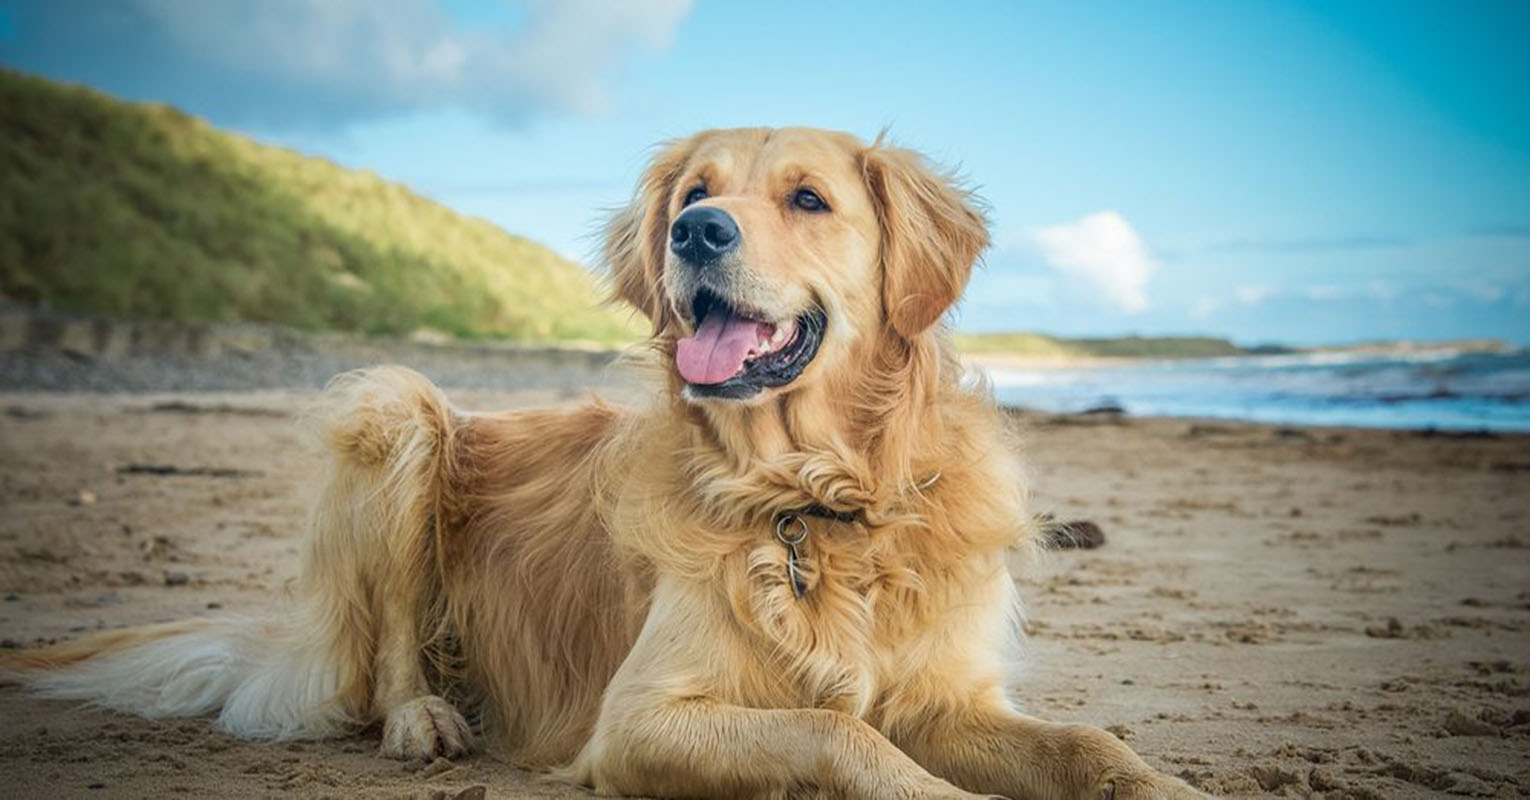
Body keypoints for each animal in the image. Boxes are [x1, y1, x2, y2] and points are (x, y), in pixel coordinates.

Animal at [2, 128, 1205, 795]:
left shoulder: (948, 698)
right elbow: (835, 730)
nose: (698, 232)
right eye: (696, 193)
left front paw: (1165, 787)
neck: (814, 499)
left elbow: (1091, 743)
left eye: (809, 198)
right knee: (390, 643)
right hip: (400, 412)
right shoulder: (638, 720)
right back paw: (421, 717)